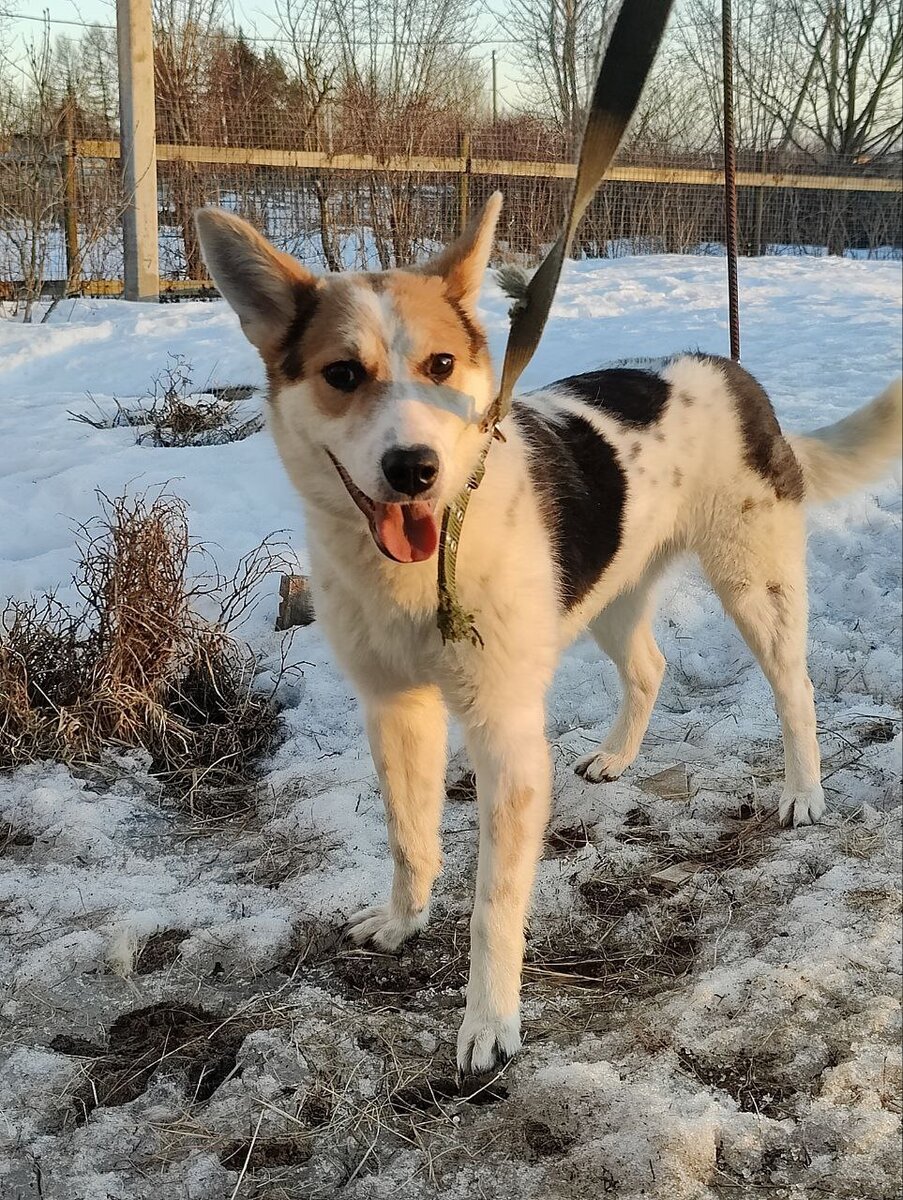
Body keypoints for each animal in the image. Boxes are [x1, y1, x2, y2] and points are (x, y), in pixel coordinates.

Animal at [195, 196, 903, 1080]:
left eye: (439, 365)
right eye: (342, 375)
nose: (413, 468)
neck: (432, 556)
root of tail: (732, 375)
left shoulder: (503, 734)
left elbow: (493, 905)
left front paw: (488, 1022)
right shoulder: (394, 709)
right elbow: (407, 838)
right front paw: (402, 920)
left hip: (753, 584)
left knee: (792, 688)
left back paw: (802, 791)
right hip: (609, 594)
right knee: (650, 667)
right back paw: (617, 757)